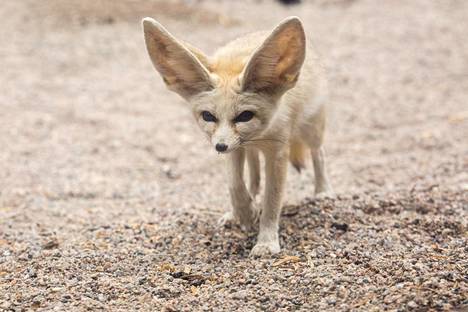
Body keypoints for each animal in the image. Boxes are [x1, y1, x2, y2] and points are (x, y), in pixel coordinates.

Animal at [143, 16, 332, 256]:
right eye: (208, 116)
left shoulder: (277, 151)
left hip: (311, 131)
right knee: (253, 175)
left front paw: (266, 242)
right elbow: (235, 183)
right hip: (245, 148)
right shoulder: (235, 147)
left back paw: (323, 193)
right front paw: (244, 212)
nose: (219, 147)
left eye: (245, 116)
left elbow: (272, 200)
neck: (261, 135)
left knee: (319, 154)